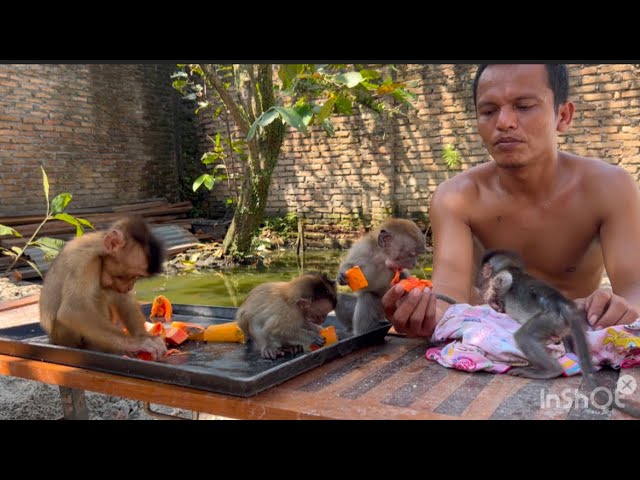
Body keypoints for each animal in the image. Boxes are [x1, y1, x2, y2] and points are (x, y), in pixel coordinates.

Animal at [40, 217, 168, 360]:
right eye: (132, 275)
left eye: (136, 277)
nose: (130, 286)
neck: (99, 251)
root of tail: (51, 339)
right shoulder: (84, 263)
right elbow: (73, 310)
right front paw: (137, 342)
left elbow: (124, 298)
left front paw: (144, 336)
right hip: (63, 336)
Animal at [480, 249, 640, 418]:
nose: (482, 281)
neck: (512, 267)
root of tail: (563, 305)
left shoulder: (503, 277)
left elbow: (504, 281)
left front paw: (494, 299)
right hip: (561, 325)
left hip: (550, 318)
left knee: (524, 336)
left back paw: (551, 370)